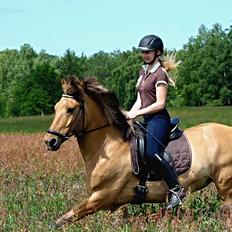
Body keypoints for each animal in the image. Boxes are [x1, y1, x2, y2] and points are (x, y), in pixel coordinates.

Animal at [44, 75, 232, 227]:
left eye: (70, 109)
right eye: (55, 108)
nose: (49, 141)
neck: (108, 145)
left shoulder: (100, 197)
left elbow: (64, 218)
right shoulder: (115, 204)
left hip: (225, 187)